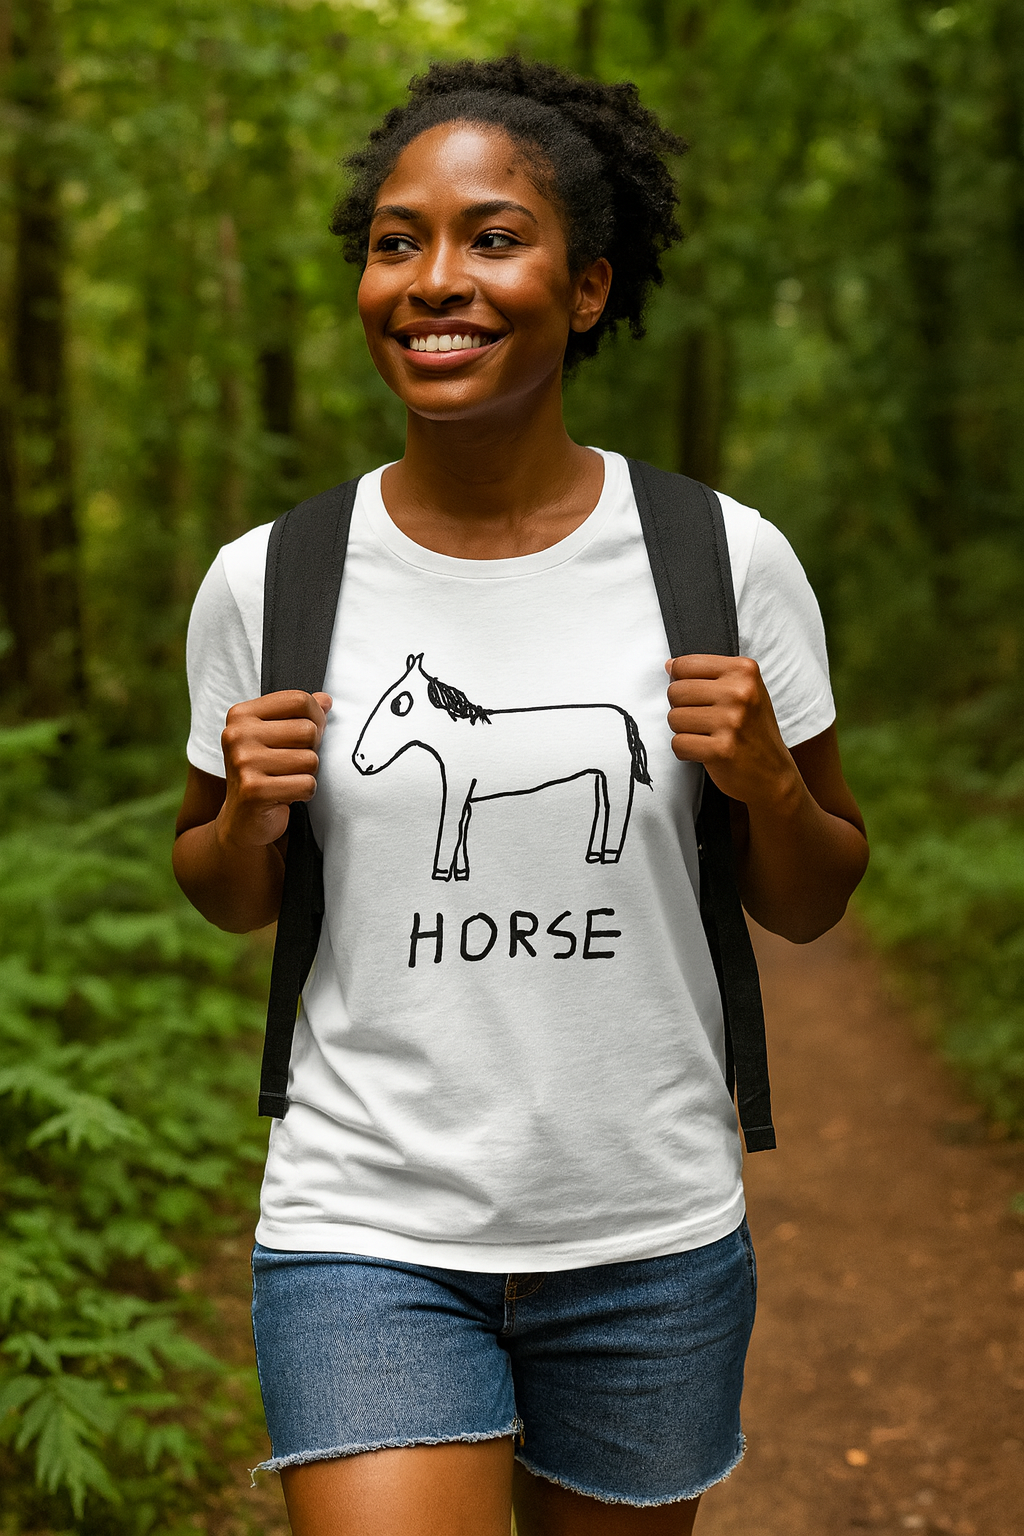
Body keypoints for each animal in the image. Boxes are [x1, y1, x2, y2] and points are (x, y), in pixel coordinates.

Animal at [351, 654, 652, 883]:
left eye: (399, 704)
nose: (360, 759)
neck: (461, 736)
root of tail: (623, 715)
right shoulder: (467, 794)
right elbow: (462, 828)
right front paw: (461, 874)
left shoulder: (458, 790)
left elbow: (449, 827)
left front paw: (440, 874)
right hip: (599, 776)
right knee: (603, 808)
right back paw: (593, 855)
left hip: (616, 776)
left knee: (619, 810)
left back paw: (609, 856)